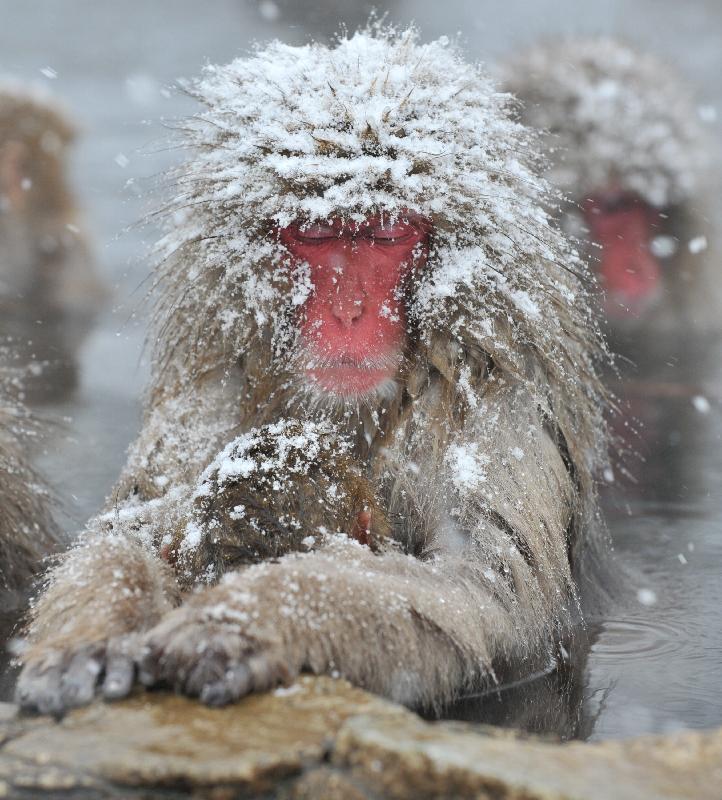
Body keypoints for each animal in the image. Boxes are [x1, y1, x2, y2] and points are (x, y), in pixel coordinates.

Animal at [15, 27, 610, 716]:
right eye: (318, 236)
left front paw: (247, 618)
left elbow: (489, 598)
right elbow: (133, 525)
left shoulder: (495, 406)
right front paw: (86, 638)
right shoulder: (219, 387)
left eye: (385, 236)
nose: (349, 312)